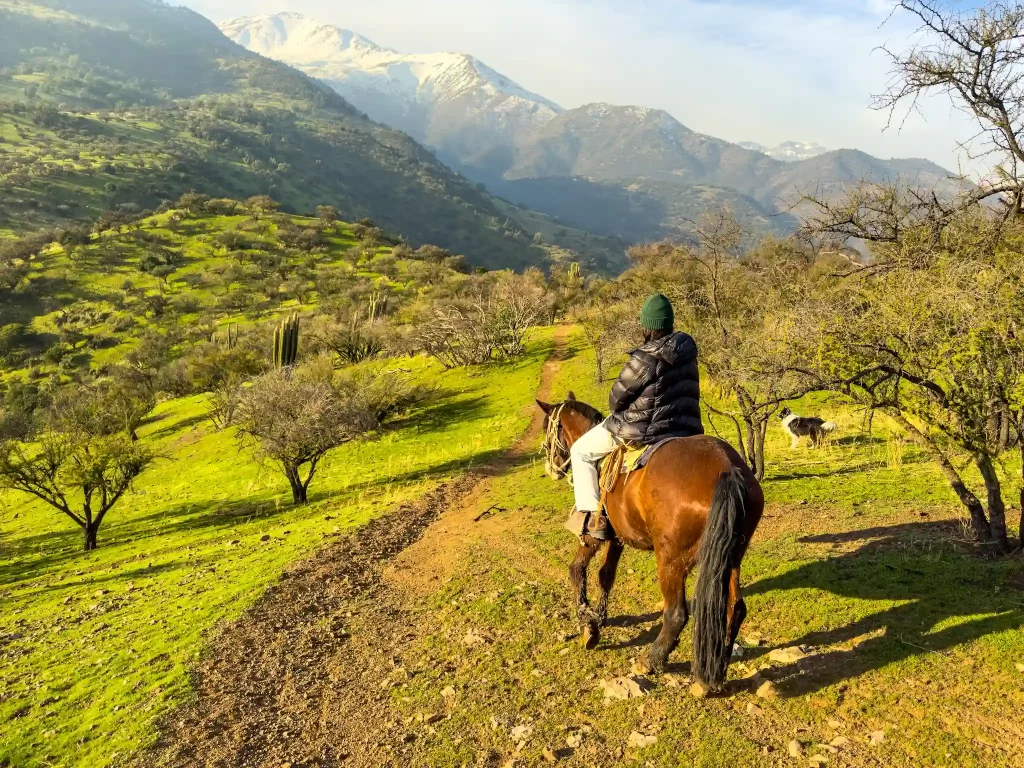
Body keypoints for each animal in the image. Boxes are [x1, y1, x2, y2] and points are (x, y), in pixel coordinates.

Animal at [540, 397, 765, 692]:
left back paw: (652, 660)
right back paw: (717, 671)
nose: (551, 469)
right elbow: (605, 576)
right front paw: (599, 616)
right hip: (730, 557)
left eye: (547, 426)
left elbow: (577, 570)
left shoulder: (592, 534)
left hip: (671, 561)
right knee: (734, 609)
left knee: (677, 614)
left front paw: (587, 624)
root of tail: (727, 468)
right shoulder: (618, 537)